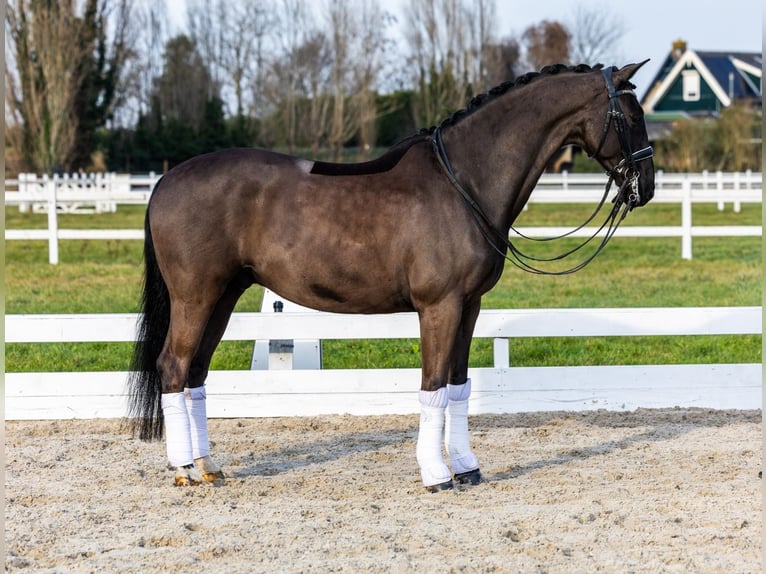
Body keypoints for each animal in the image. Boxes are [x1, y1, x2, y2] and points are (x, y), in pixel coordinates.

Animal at [127, 62, 655, 492]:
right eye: (630, 116)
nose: (645, 187)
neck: (464, 182)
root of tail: (165, 181)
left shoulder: (469, 307)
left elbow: (458, 386)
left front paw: (467, 467)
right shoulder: (439, 306)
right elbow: (433, 386)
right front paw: (436, 474)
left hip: (223, 296)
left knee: (195, 374)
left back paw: (207, 465)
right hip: (196, 296)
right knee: (173, 366)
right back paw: (183, 469)